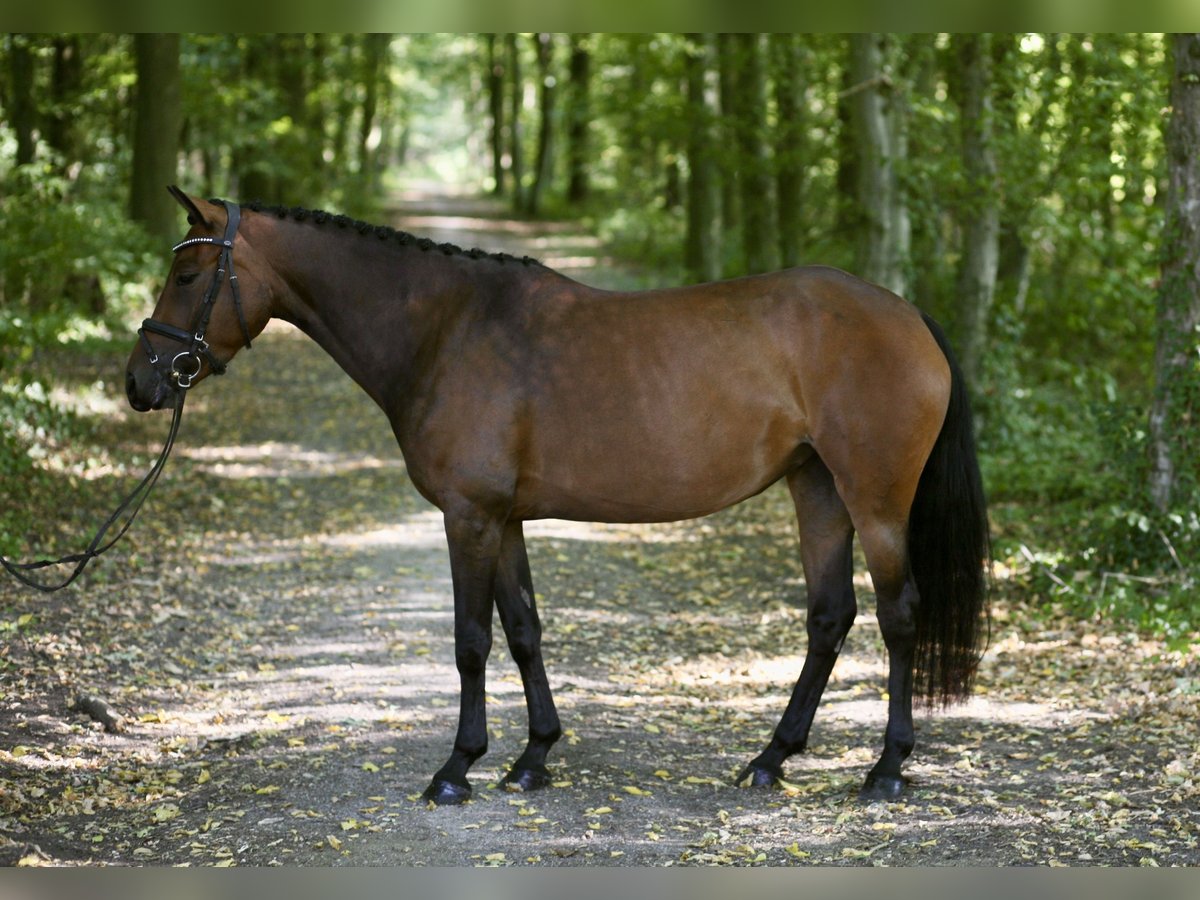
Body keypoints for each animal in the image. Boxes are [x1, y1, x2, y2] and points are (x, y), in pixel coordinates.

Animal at [121, 187, 988, 806]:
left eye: (188, 276)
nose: (140, 383)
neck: (447, 331)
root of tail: (907, 313)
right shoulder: (502, 520)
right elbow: (524, 631)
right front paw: (533, 758)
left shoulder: (468, 518)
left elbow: (472, 641)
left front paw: (456, 769)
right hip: (817, 490)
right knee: (829, 616)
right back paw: (772, 759)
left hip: (875, 500)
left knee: (898, 616)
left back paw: (886, 770)